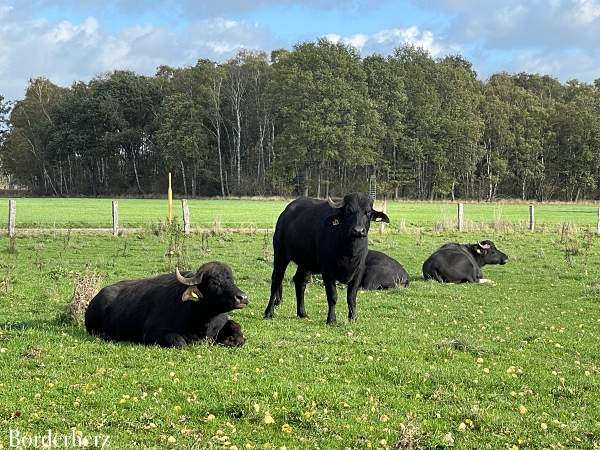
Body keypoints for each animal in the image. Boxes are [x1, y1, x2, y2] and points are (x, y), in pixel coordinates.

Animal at [84, 260, 246, 348]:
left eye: (231, 280)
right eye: (214, 281)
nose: (242, 297)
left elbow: (237, 329)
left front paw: (232, 340)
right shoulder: (152, 333)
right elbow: (180, 342)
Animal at [262, 192, 390, 324]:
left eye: (368, 212)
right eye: (348, 211)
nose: (358, 230)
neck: (349, 252)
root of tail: (285, 214)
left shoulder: (359, 272)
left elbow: (351, 297)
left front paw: (353, 318)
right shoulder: (327, 271)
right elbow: (332, 296)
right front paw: (331, 320)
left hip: (305, 263)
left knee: (299, 281)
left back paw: (302, 313)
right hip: (280, 255)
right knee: (276, 281)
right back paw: (269, 312)